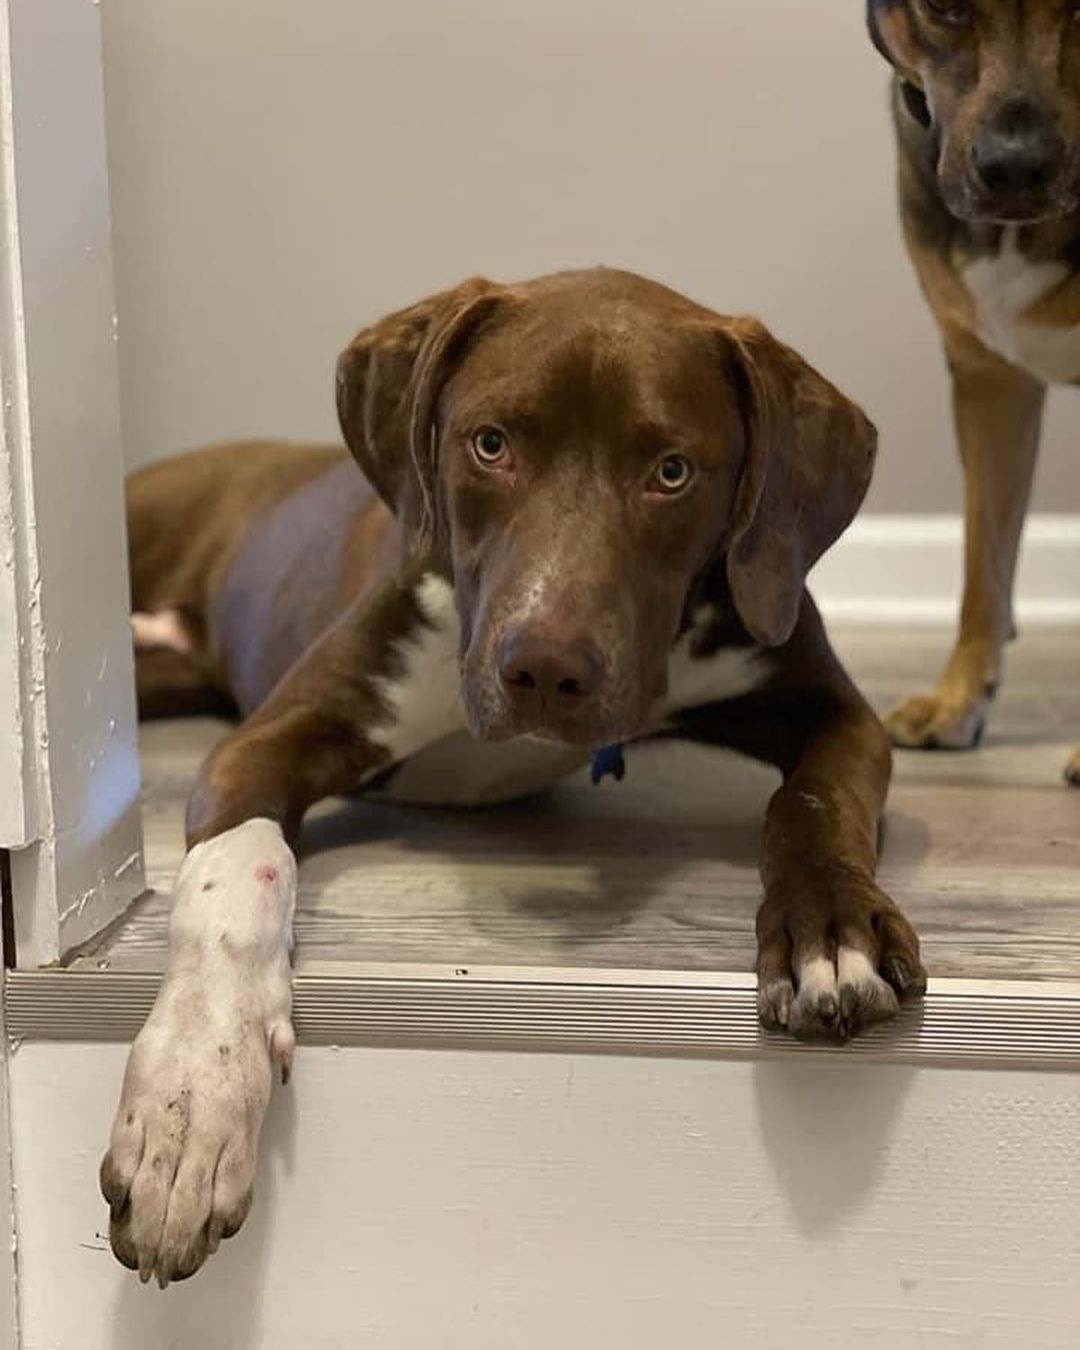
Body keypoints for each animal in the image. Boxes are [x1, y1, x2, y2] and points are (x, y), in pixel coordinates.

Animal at [105, 265, 923, 1285]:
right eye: (490, 444)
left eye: (671, 471)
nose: (543, 670)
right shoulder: (264, 743)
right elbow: (237, 874)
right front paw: (191, 1097)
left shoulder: (826, 700)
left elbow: (813, 798)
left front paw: (831, 929)